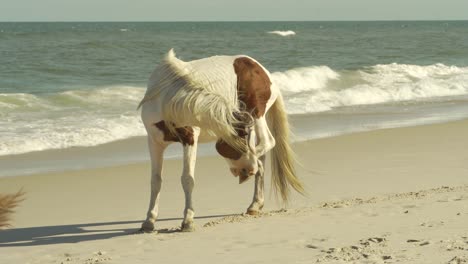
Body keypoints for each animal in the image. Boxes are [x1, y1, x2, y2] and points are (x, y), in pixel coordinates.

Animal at [137, 49, 304, 231]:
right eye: (241, 140)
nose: (246, 171)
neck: (164, 100)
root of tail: (263, 71)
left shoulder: (190, 138)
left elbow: (187, 179)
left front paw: (188, 220)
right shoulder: (154, 142)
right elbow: (156, 181)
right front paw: (149, 220)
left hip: (257, 116)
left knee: (267, 143)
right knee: (263, 154)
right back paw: (255, 203)